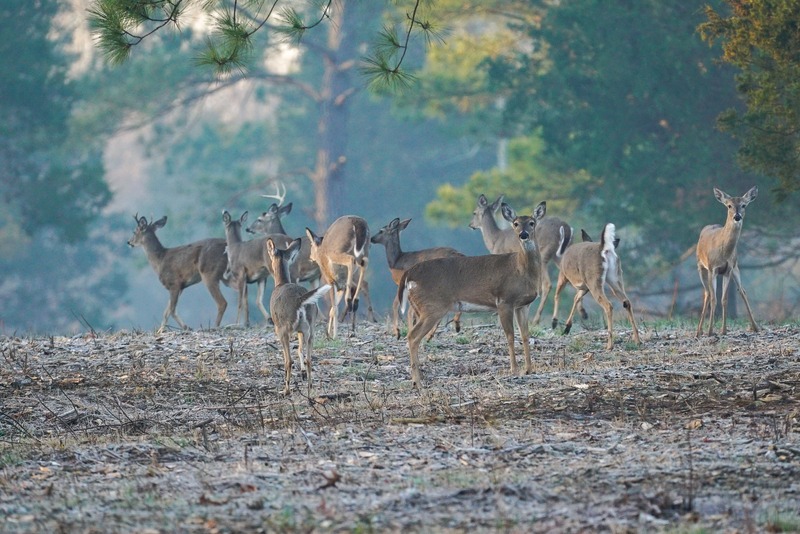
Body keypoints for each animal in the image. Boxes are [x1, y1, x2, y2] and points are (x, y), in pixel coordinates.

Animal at [266, 237, 331, 395]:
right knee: (309, 358)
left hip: (284, 328)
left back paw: (286, 390)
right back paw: (310, 387)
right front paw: (302, 374)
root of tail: (300, 300)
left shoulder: (279, 327)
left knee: (288, 360)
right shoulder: (302, 330)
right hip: (310, 327)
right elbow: (300, 349)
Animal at [399, 202, 546, 388]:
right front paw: (514, 370)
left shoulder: (523, 305)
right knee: (412, 336)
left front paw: (529, 369)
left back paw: (418, 378)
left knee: (412, 334)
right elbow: (510, 335)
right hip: (432, 307)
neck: (521, 269)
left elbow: (525, 335)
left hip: (421, 307)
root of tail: (409, 274)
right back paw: (417, 381)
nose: (523, 235)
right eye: (516, 223)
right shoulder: (504, 300)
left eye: (532, 223)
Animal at [469, 193, 583, 325]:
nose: (470, 225)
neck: (495, 240)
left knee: (547, 285)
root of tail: (566, 227)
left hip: (544, 255)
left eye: (474, 212)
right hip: (560, 255)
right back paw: (579, 316)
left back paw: (537, 320)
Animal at [696, 186, 759, 337]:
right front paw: (710, 331)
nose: (737, 216)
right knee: (707, 294)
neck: (723, 252)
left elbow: (724, 299)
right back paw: (699, 331)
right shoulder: (712, 268)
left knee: (742, 291)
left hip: (736, 267)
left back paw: (756, 327)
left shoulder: (728, 270)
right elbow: (714, 299)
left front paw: (723, 330)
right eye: (729, 205)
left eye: (744, 205)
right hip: (701, 266)